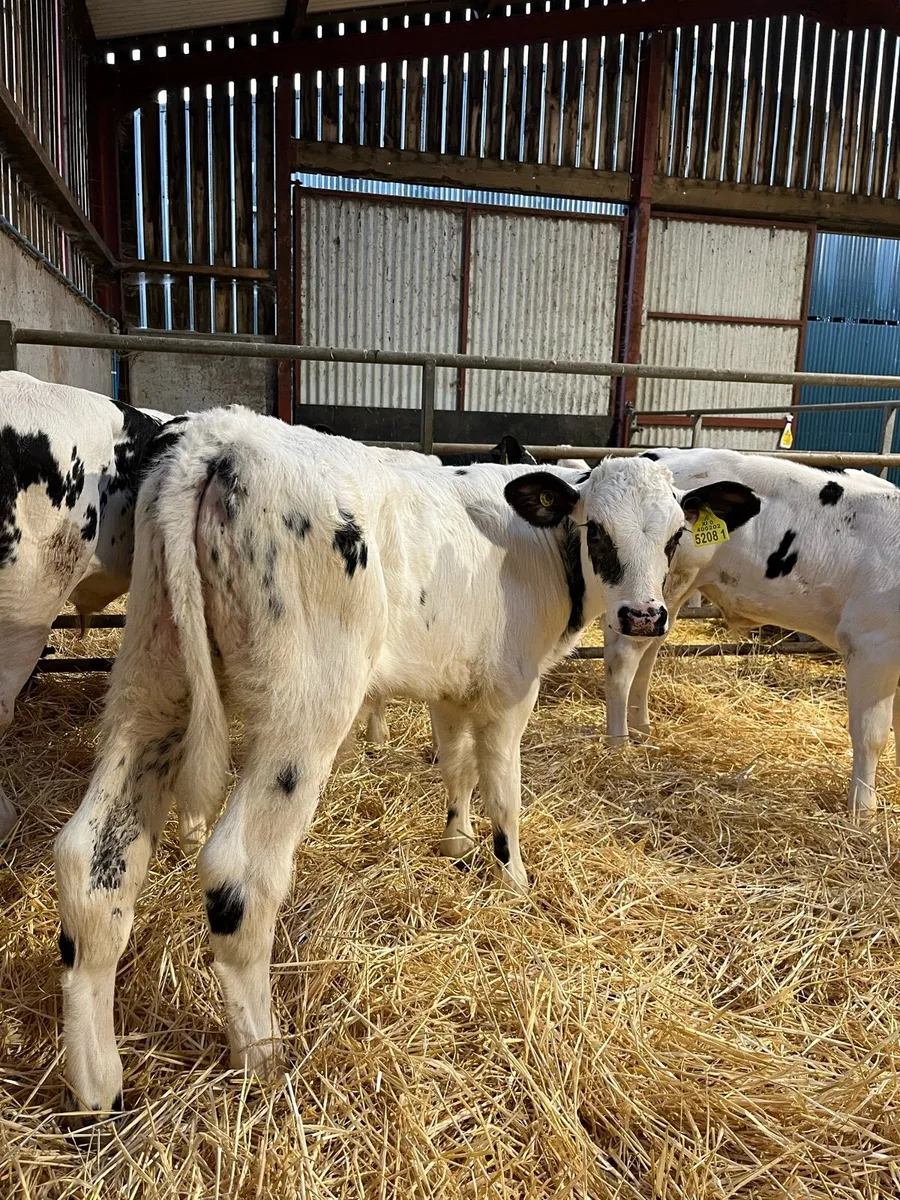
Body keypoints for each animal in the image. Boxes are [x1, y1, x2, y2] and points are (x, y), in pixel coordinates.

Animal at [53, 407, 757, 1115]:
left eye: (674, 536)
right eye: (598, 530)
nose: (644, 616)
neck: (539, 547)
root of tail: (222, 437)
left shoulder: (453, 683)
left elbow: (457, 765)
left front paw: (456, 839)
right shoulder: (512, 689)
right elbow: (505, 788)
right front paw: (513, 878)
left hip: (153, 679)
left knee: (93, 860)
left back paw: (97, 1085)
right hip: (304, 705)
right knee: (239, 874)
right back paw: (263, 1057)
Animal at [603, 447, 900, 817]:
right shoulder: (872, 644)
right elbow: (872, 734)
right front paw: (863, 813)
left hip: (669, 595)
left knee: (647, 654)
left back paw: (643, 729)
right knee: (622, 659)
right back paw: (619, 746)